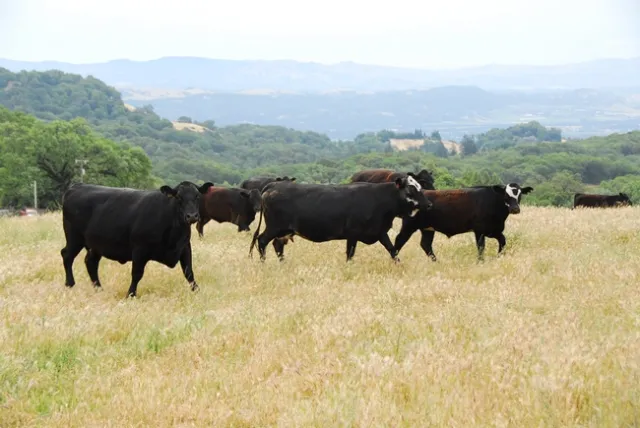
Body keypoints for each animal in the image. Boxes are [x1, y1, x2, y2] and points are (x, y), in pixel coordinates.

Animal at [60, 181, 214, 298]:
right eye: (178, 198)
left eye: (197, 196)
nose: (192, 216)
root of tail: (77, 186)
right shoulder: (140, 249)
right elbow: (137, 274)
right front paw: (131, 294)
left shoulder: (185, 247)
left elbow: (189, 272)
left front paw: (197, 291)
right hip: (74, 238)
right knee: (67, 255)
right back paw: (70, 284)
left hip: (95, 245)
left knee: (90, 262)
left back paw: (99, 288)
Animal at [249, 176, 432, 262]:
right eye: (410, 191)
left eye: (420, 187)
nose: (429, 204)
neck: (379, 199)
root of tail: (274, 185)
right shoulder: (353, 234)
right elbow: (350, 254)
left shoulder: (380, 232)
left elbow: (392, 250)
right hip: (274, 227)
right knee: (262, 241)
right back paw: (264, 262)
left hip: (283, 231)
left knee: (277, 245)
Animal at [394, 183, 534, 261]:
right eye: (506, 195)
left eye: (520, 195)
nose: (515, 209)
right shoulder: (479, 231)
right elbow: (481, 247)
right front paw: (480, 262)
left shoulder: (493, 230)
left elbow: (503, 241)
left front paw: (499, 256)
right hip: (409, 226)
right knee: (399, 240)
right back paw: (395, 259)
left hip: (428, 229)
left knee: (426, 245)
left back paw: (436, 262)